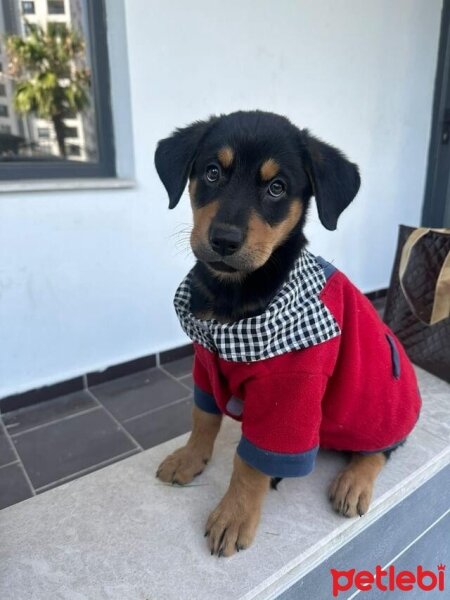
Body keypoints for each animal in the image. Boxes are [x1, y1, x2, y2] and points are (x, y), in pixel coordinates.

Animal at [154, 110, 422, 556]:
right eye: (211, 173)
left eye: (277, 187)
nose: (223, 239)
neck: (233, 295)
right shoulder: (204, 366)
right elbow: (203, 417)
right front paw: (189, 459)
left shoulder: (290, 389)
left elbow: (249, 461)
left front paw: (234, 515)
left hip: (380, 412)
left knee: (382, 448)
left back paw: (353, 482)